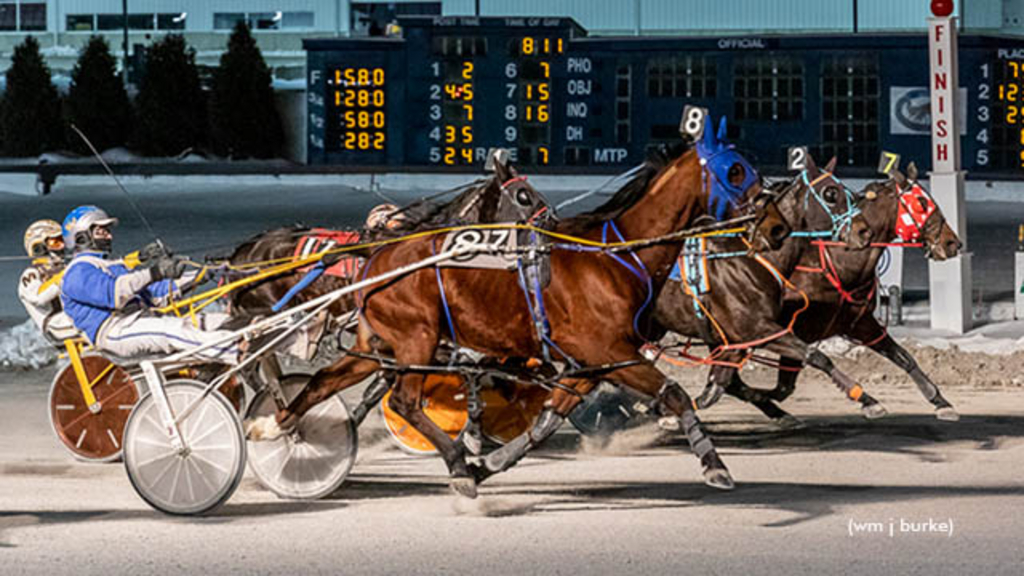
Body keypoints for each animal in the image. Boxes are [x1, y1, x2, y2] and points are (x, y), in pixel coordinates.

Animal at [245, 136, 782, 496]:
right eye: (736, 171)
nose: (776, 224)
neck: (616, 255)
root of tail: (378, 258)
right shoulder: (611, 351)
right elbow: (674, 394)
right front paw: (715, 465)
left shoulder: (592, 362)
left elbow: (543, 421)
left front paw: (491, 460)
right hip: (417, 339)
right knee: (404, 402)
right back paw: (456, 465)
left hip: (378, 345)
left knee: (324, 383)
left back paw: (278, 425)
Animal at [724, 162, 962, 422]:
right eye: (921, 202)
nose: (953, 243)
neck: (837, 264)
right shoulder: (794, 330)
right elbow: (784, 386)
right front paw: (867, 400)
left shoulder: (860, 323)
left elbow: (903, 357)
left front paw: (940, 401)